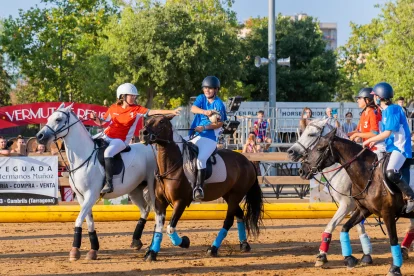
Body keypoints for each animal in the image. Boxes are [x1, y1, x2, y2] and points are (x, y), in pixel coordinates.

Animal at [36, 103, 157, 260]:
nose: (39, 136)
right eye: (48, 118)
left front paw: (74, 251)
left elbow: (79, 219)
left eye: (58, 119)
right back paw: (136, 241)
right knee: (145, 210)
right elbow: (89, 221)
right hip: (134, 190)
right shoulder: (81, 197)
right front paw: (93, 250)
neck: (82, 157)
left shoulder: (91, 195)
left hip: (152, 188)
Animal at [139, 114, 262, 260]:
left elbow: (170, 228)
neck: (171, 167)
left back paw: (213, 249)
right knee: (239, 215)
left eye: (162, 121)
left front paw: (184, 242)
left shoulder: (180, 201)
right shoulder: (159, 202)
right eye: (147, 121)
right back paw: (244, 244)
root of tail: (247, 161)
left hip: (235, 196)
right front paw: (151, 253)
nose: (143, 133)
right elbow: (158, 227)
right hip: (228, 195)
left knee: (229, 220)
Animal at [288, 118, 414, 266]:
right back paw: (403, 250)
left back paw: (403, 250)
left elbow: (331, 225)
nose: (291, 152)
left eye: (311, 134)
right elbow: (358, 227)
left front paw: (322, 256)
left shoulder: (347, 204)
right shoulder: (359, 207)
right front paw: (365, 255)